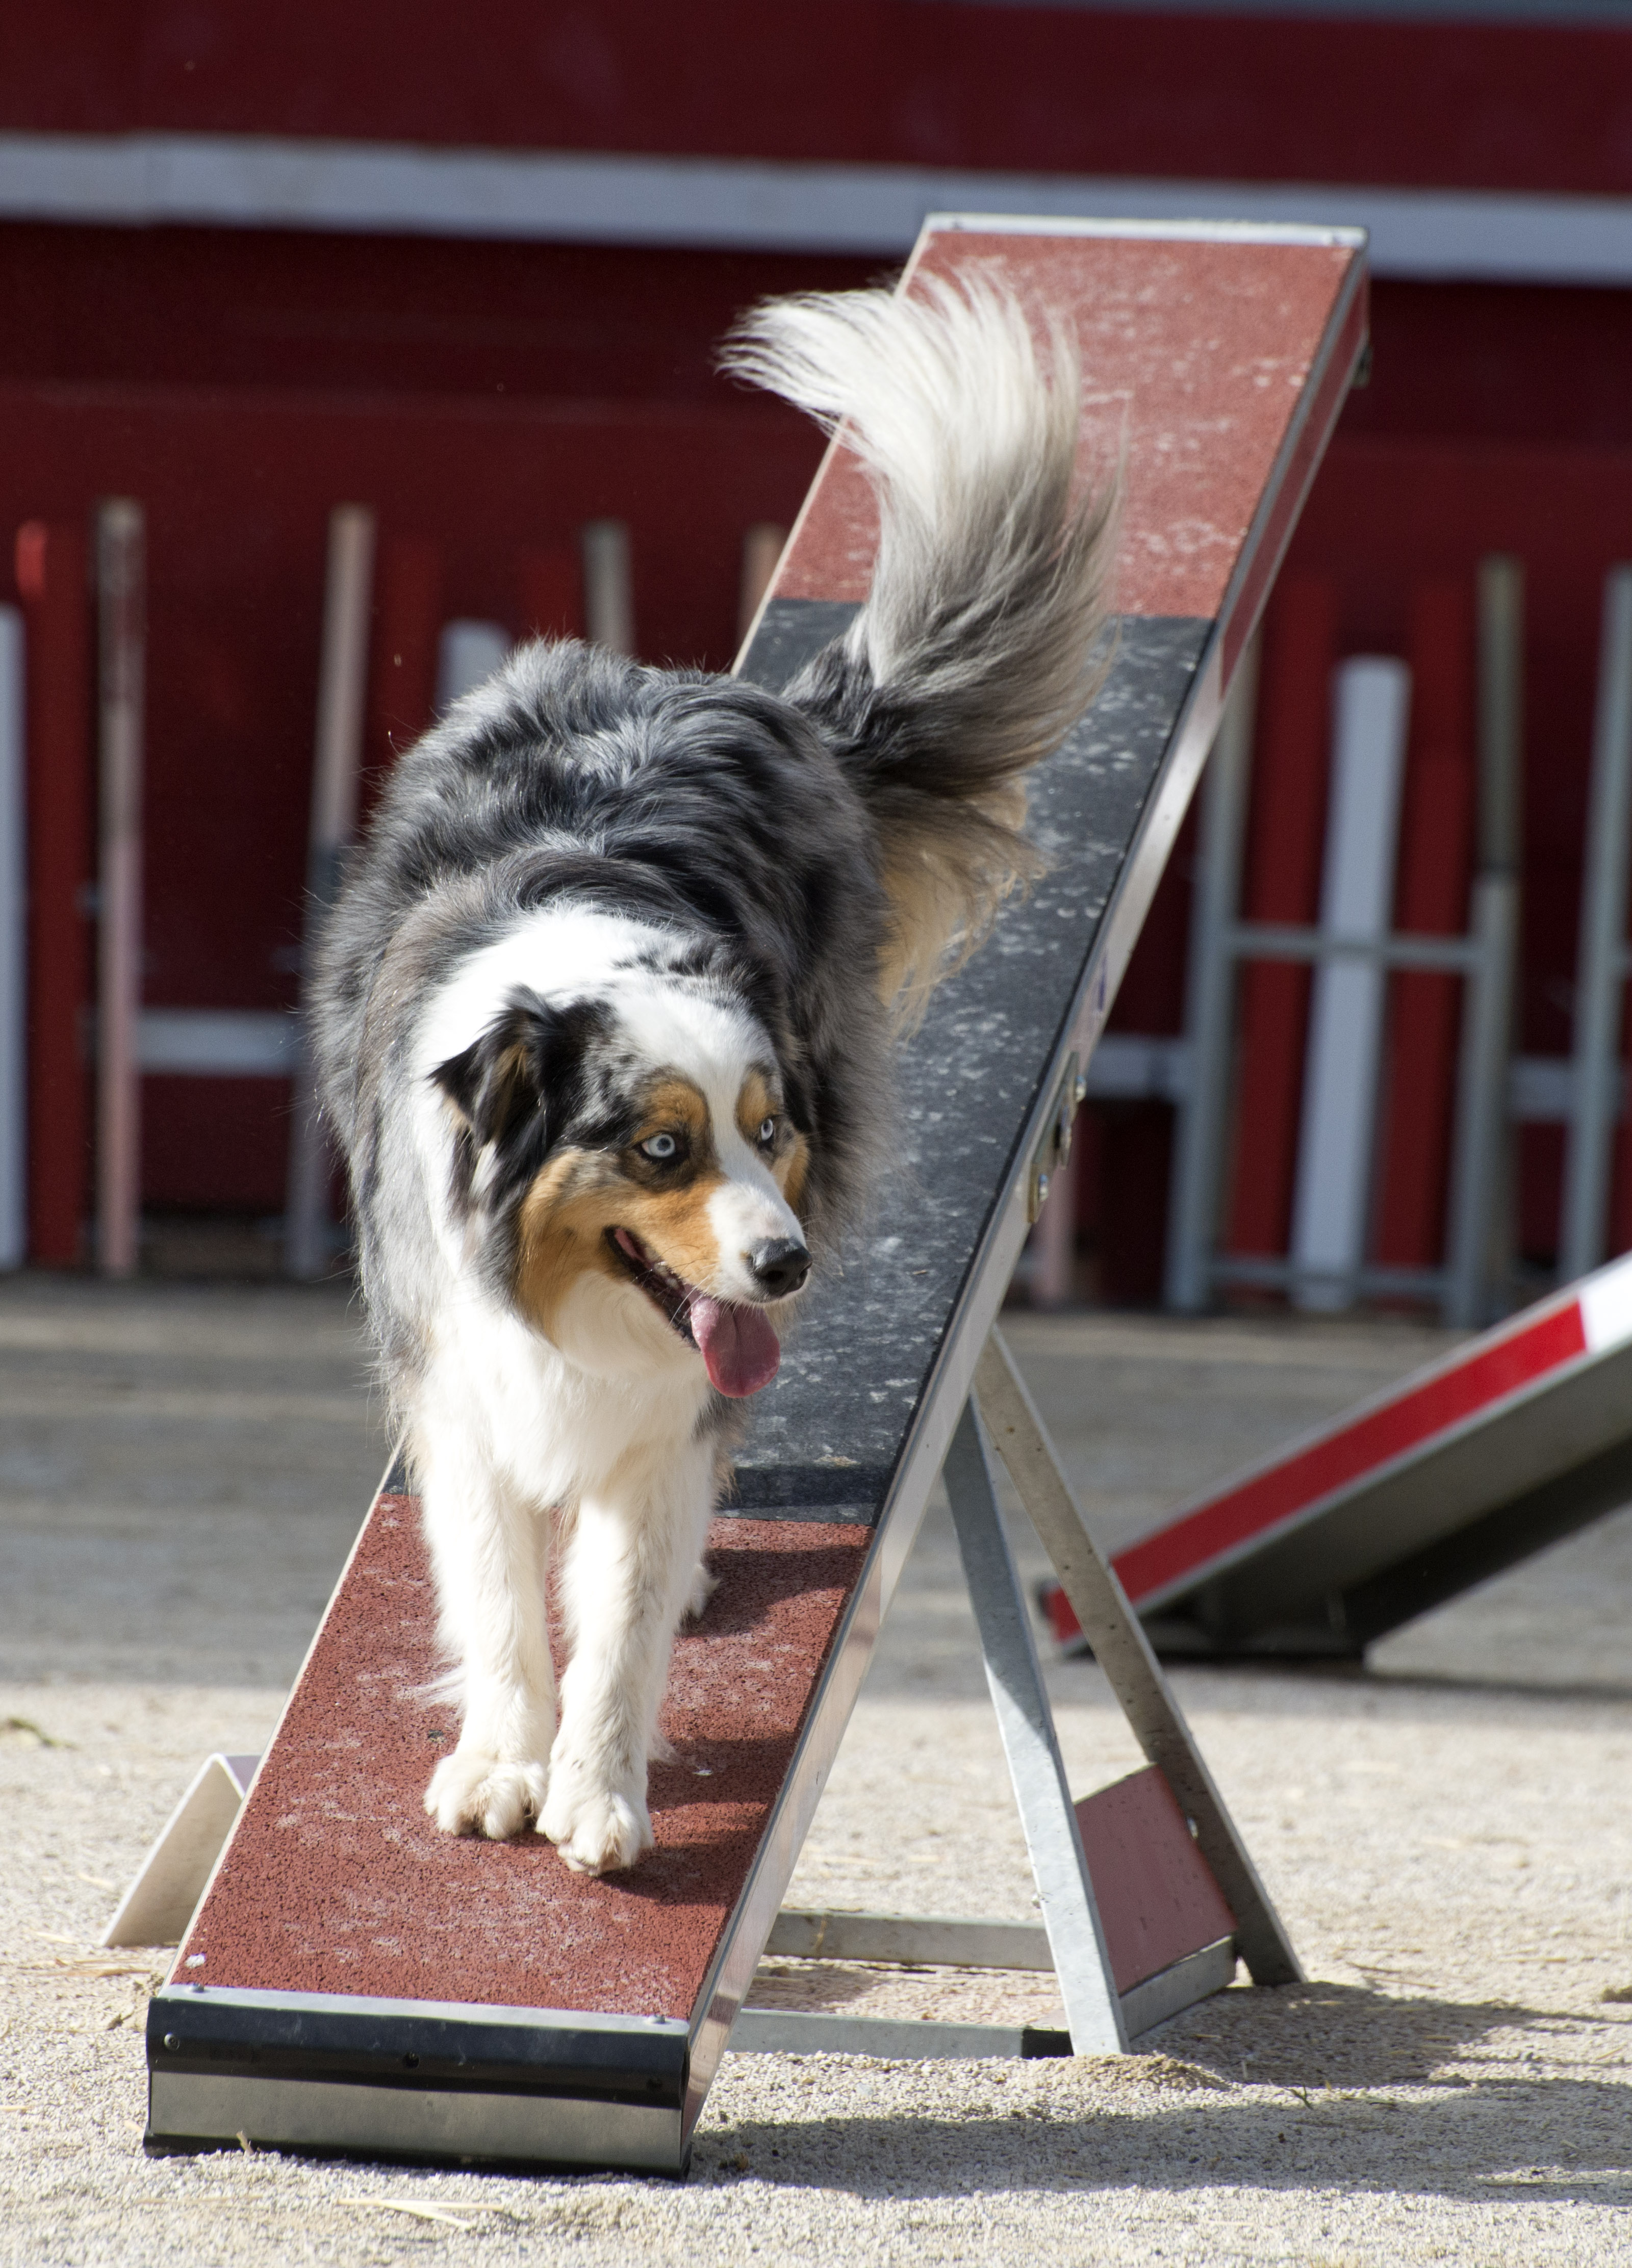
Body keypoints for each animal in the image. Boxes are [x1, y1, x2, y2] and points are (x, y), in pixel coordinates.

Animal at [313, 274, 1116, 1877]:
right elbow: (496, 1587)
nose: (788, 1262)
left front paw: (598, 1789)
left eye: (767, 1130)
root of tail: (709, 693)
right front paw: (502, 1759)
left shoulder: (667, 1415)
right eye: (661, 1147)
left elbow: (623, 1609)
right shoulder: (457, 1376)